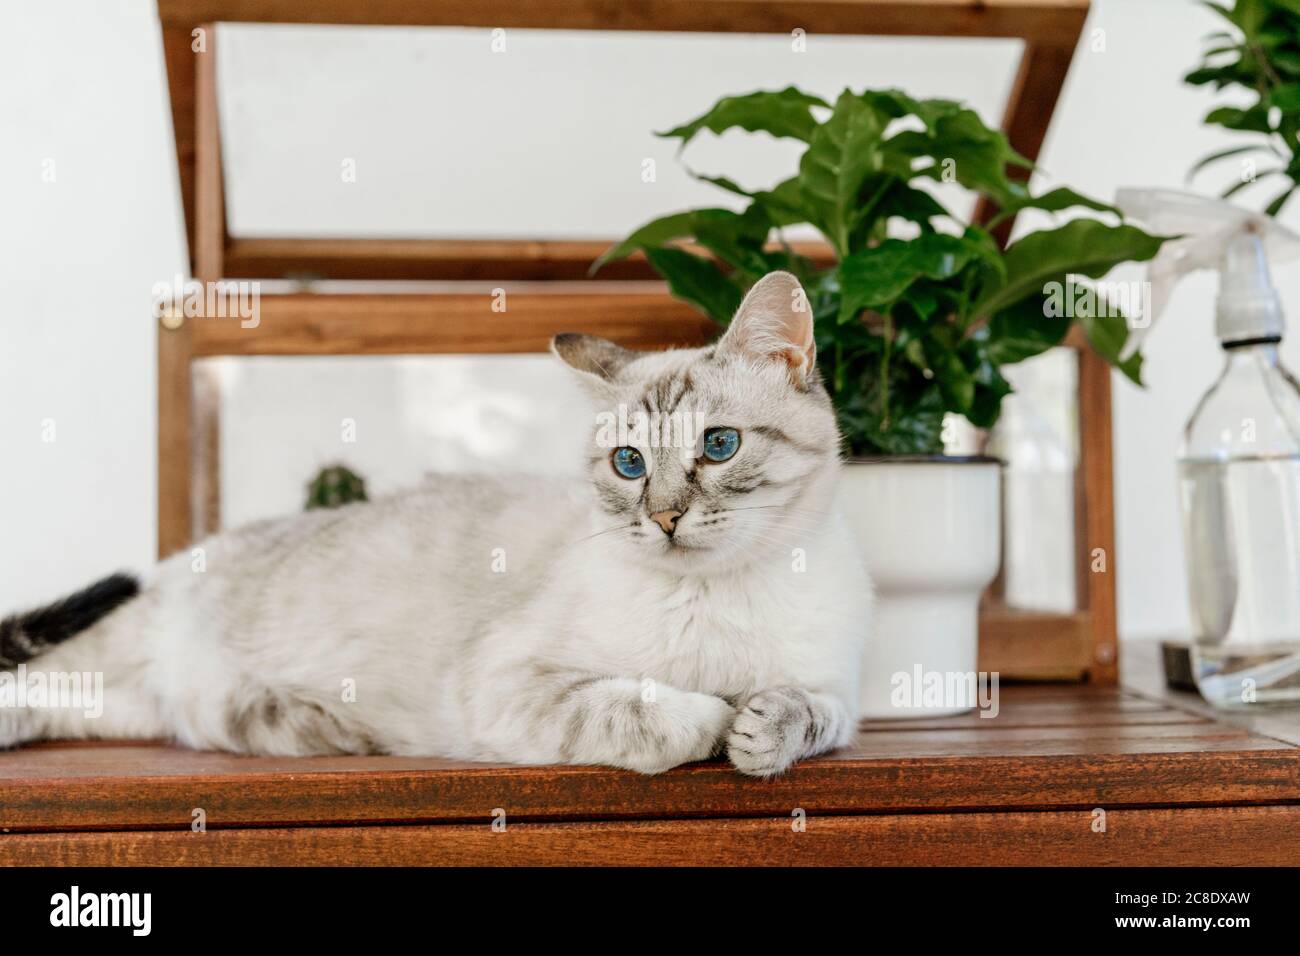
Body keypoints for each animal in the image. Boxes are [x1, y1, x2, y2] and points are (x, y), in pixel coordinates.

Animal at [2, 270, 873, 780]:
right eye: (629, 464)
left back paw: (307, 723)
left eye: (718, 447)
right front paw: (719, 716)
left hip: (143, 706)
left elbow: (814, 715)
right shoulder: (516, 683)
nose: (662, 517)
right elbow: (658, 713)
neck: (719, 599)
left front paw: (763, 728)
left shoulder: (841, 691)